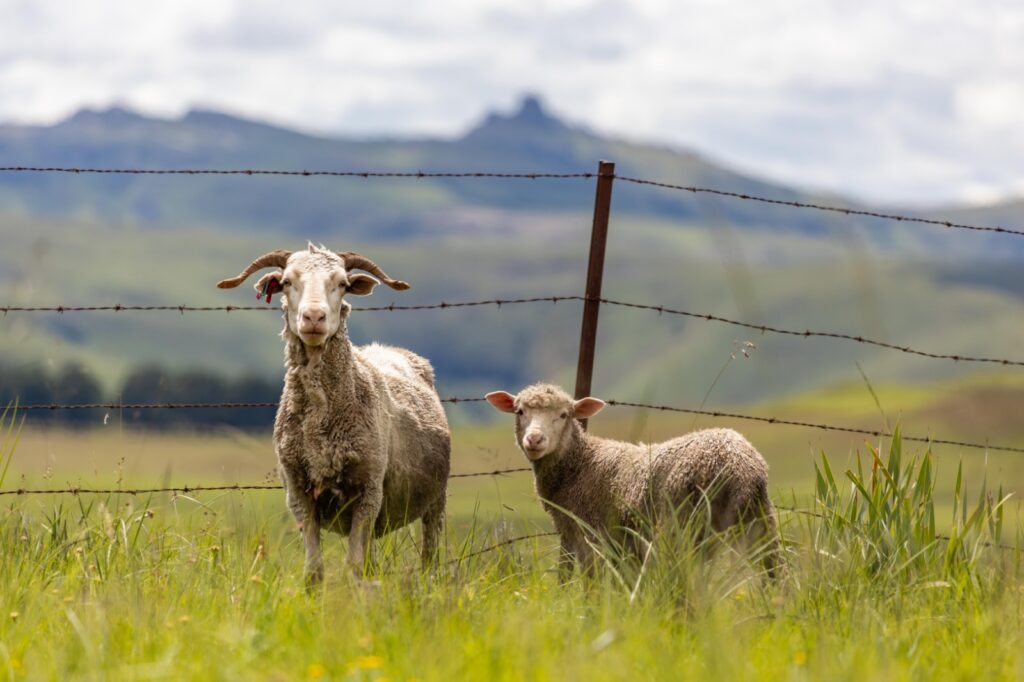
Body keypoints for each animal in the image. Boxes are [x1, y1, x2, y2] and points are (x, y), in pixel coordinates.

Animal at [217, 244, 451, 585]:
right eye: (286, 282)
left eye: (342, 283)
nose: (314, 317)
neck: (320, 424)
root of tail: (386, 348)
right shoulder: (299, 494)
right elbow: (314, 570)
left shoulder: (368, 491)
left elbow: (353, 567)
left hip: (436, 499)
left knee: (430, 552)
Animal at [485, 384, 779, 579]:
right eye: (519, 412)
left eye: (564, 415)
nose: (535, 439)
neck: (579, 465)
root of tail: (741, 465)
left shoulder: (590, 538)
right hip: (760, 523)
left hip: (681, 528)